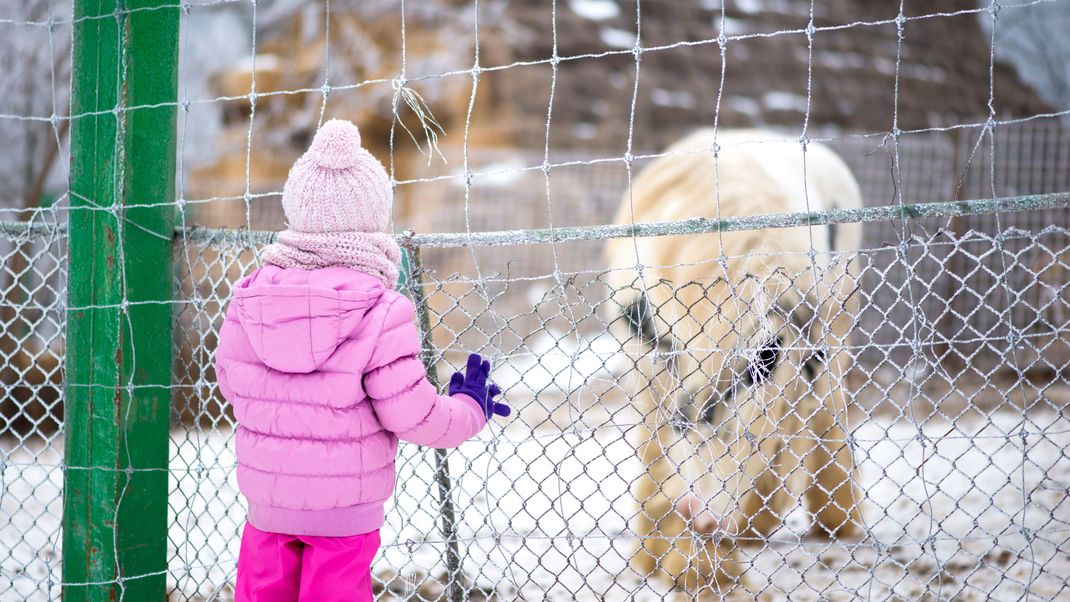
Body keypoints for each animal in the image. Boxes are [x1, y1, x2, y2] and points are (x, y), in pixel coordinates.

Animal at [607, 128, 864, 594]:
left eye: (762, 364)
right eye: (685, 424)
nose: (700, 516)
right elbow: (655, 448)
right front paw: (657, 560)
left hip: (841, 321)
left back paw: (832, 522)